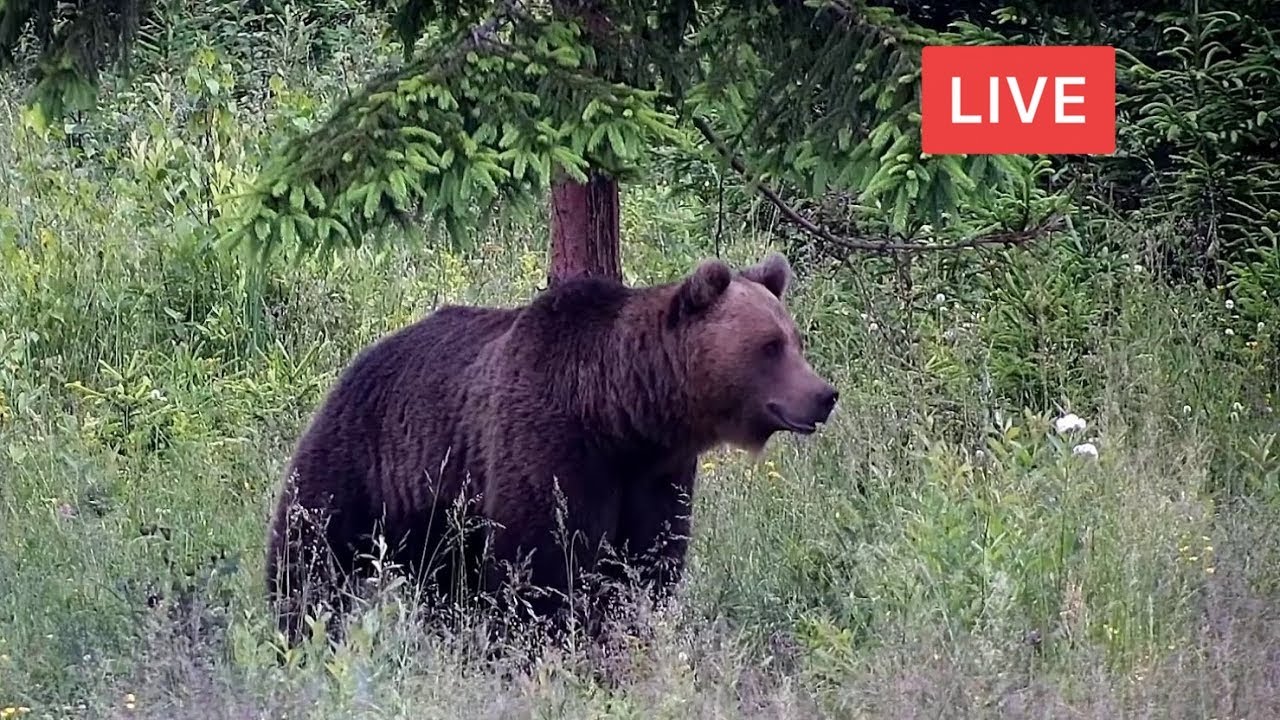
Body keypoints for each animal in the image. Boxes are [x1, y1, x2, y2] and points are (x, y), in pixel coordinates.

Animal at [262, 252, 839, 645]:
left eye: (796, 340)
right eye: (769, 346)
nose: (824, 395)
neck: (620, 412)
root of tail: (365, 354)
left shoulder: (658, 473)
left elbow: (649, 562)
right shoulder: (552, 444)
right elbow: (540, 565)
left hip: (442, 516)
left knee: (443, 587)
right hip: (369, 457)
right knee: (311, 549)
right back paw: (295, 630)